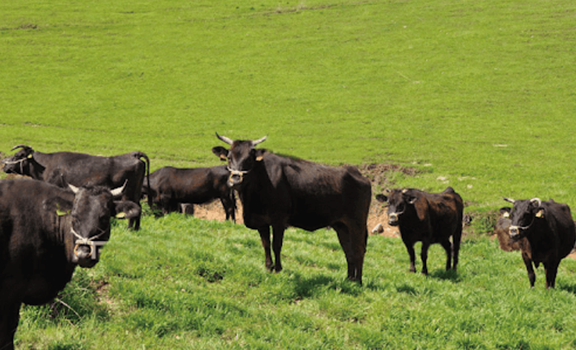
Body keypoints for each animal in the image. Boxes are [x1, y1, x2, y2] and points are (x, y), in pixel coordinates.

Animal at [1, 144, 151, 230]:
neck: (45, 166)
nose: (4, 166)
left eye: (18, 155)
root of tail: (134, 154)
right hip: (136, 192)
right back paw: (136, 229)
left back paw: (129, 228)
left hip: (128, 192)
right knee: (138, 207)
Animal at [214, 133, 372, 284]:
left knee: (359, 249)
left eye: (249, 159)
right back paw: (349, 279)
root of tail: (358, 174)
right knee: (348, 251)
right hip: (341, 226)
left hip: (357, 223)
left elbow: (276, 245)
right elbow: (266, 245)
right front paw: (268, 268)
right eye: (229, 158)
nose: (235, 180)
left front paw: (278, 269)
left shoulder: (279, 221)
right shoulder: (262, 222)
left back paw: (358, 281)